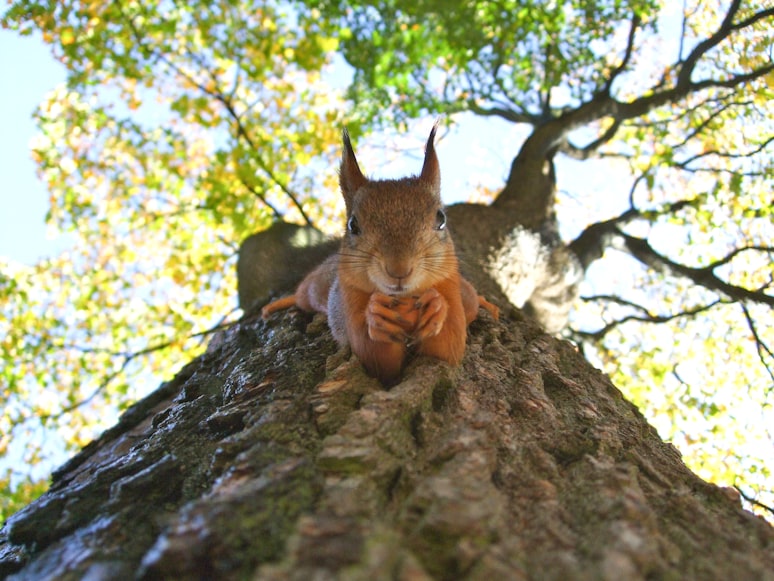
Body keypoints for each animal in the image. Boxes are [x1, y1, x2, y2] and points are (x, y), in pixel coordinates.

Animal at [264, 124, 500, 382]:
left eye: (441, 219)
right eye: (353, 225)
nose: (399, 270)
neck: (404, 300)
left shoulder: (450, 288)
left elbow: (448, 347)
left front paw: (436, 307)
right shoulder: (349, 300)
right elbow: (376, 358)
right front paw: (376, 316)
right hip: (315, 289)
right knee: (301, 295)